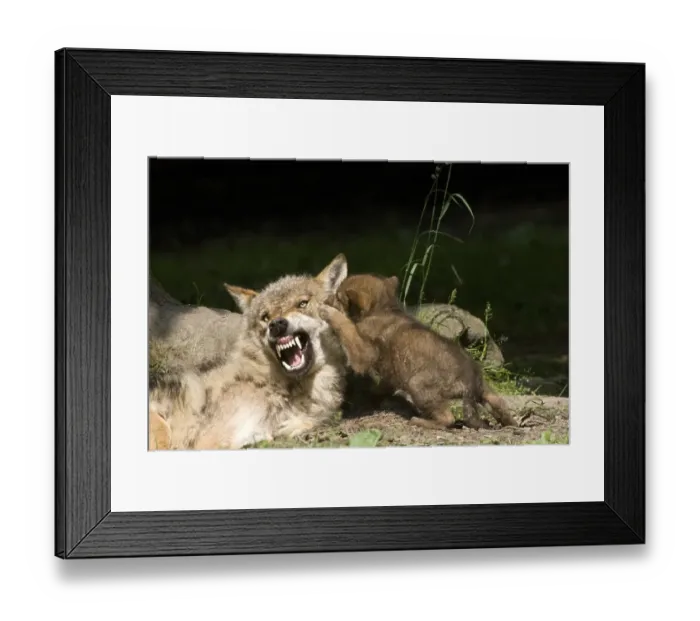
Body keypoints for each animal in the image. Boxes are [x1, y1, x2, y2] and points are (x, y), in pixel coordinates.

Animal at [320, 273, 519, 431]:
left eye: (338, 297)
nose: (325, 300)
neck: (384, 308)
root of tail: (471, 379)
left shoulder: (364, 353)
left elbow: (346, 326)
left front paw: (328, 312)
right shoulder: (389, 369)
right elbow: (385, 383)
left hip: (418, 385)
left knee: (448, 418)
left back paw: (420, 421)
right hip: (487, 391)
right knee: (500, 405)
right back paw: (513, 424)